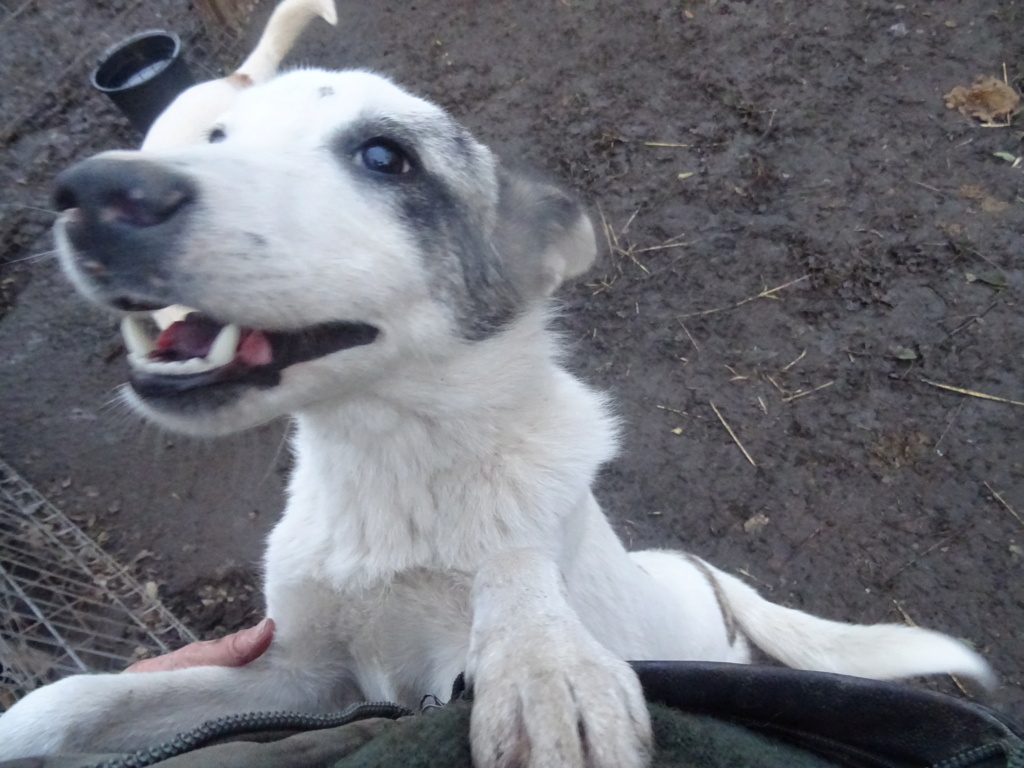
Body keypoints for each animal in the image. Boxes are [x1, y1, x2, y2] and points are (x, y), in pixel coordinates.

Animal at [0, 63, 991, 768]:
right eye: (215, 135)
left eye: (385, 157)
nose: (91, 193)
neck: (393, 464)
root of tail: (702, 570)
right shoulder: (301, 676)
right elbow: (81, 700)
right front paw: (27, 726)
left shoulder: (452, 645)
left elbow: (513, 574)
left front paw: (549, 671)